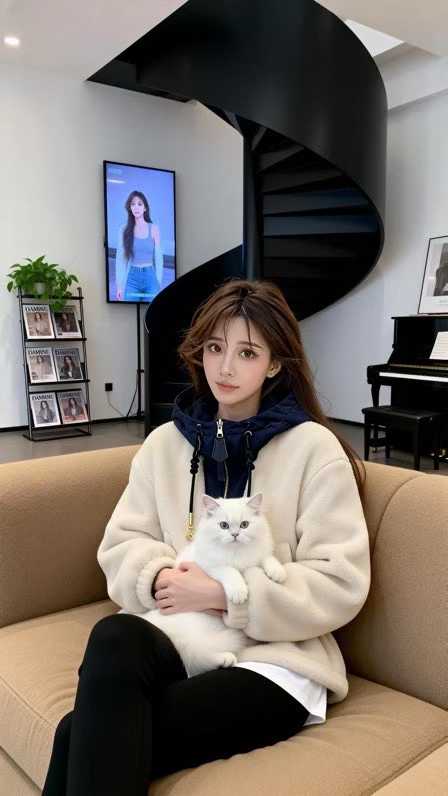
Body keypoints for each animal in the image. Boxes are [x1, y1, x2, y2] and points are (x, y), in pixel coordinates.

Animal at [140, 491, 287, 677]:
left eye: (244, 525)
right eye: (224, 525)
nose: (235, 534)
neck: (236, 553)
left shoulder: (256, 558)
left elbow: (267, 558)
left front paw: (278, 573)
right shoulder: (210, 566)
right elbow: (231, 572)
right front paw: (239, 593)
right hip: (193, 636)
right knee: (198, 657)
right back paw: (225, 658)